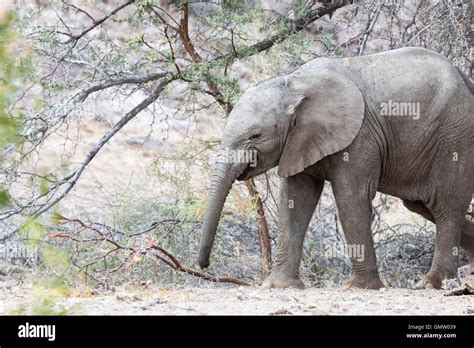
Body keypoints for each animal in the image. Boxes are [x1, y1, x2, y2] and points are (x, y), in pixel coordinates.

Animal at [196, 47, 474, 290]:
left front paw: (359, 288)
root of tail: (465, 79)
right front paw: (279, 286)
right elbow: (295, 200)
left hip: (455, 136)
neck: (294, 84)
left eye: (255, 136)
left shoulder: (360, 136)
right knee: (422, 205)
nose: (204, 265)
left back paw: (431, 283)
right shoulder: (299, 141)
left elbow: (351, 198)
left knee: (444, 206)